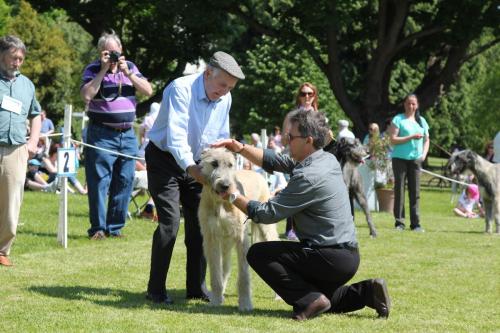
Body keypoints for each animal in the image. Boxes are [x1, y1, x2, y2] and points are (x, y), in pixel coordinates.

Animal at [198, 147, 278, 310]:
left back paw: (277, 296)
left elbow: (244, 275)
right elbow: (215, 272)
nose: (225, 186)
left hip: (266, 227)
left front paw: (246, 303)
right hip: (225, 242)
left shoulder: (241, 237)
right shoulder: (211, 238)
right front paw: (216, 299)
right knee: (225, 266)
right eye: (214, 163)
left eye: (230, 165)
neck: (220, 204)